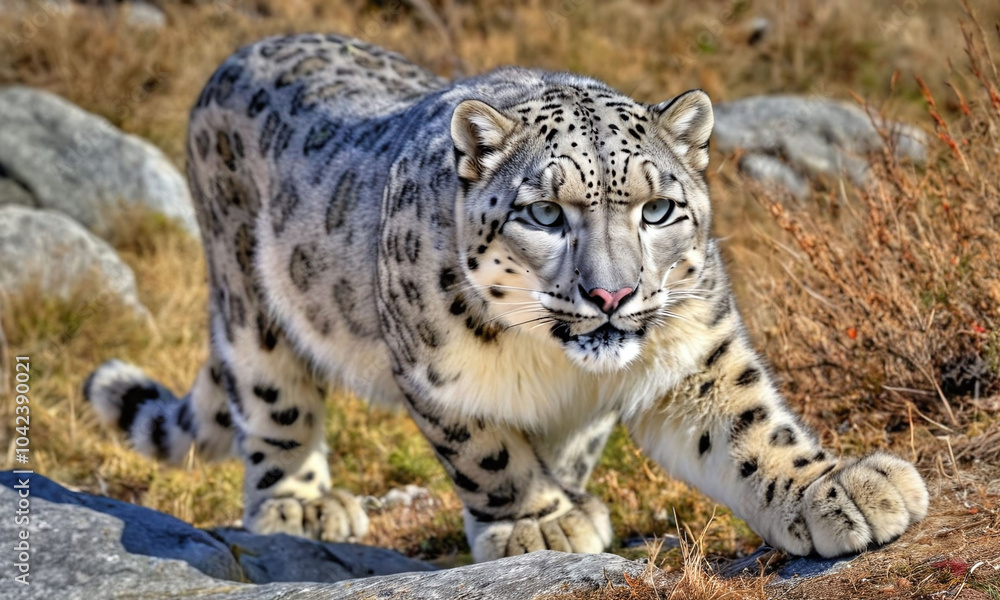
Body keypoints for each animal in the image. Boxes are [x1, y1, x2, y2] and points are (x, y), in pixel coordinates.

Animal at [84, 33, 928, 562]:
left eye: (658, 209)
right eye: (545, 213)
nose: (612, 293)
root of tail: (239, 54)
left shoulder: (696, 347)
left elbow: (750, 426)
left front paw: (839, 491)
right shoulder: (436, 377)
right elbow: (488, 453)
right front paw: (539, 525)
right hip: (249, 301)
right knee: (273, 401)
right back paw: (301, 503)